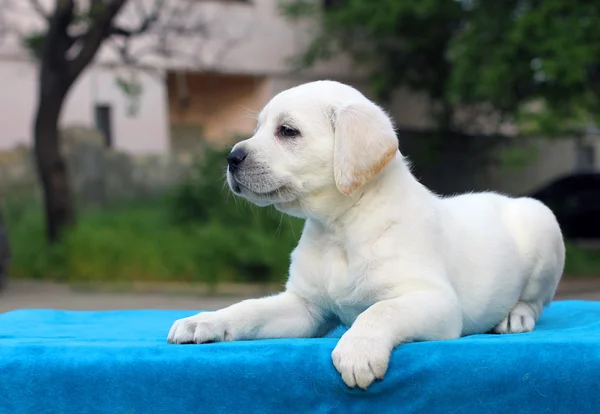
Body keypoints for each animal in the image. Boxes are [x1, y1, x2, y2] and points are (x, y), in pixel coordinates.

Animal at [166, 81, 564, 392]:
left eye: (288, 131)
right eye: (259, 127)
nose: (231, 157)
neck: (338, 230)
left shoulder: (434, 300)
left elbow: (379, 311)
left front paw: (357, 351)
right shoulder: (305, 308)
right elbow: (249, 308)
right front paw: (206, 321)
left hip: (543, 225)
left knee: (537, 300)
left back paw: (515, 317)